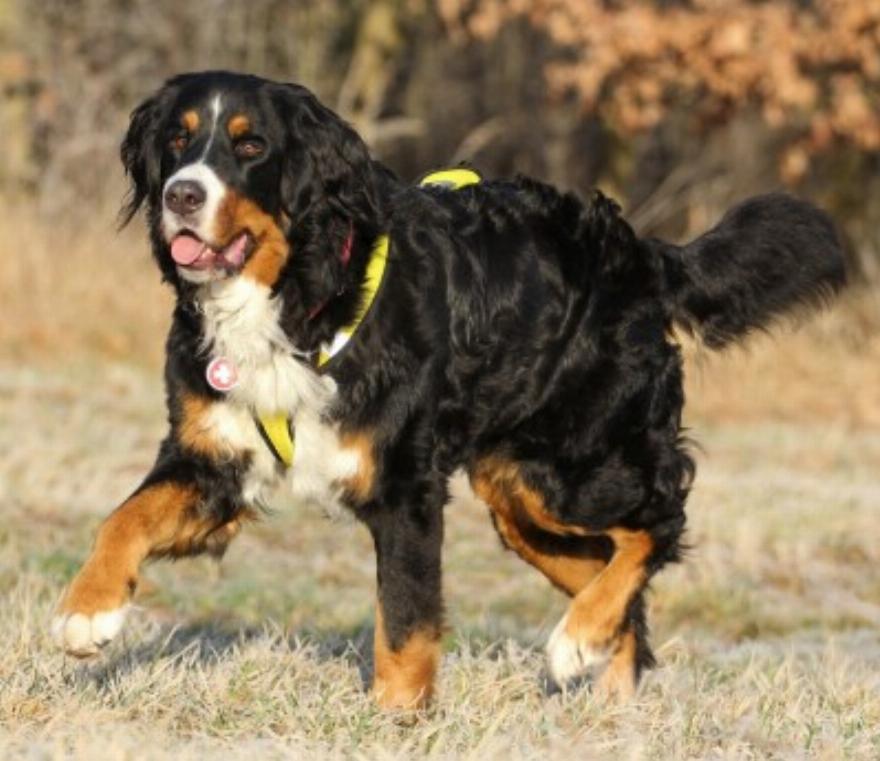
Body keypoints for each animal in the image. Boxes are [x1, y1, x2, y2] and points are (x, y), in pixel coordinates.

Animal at [52, 70, 845, 708]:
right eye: (178, 140)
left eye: (250, 147)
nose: (182, 194)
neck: (299, 300)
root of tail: (636, 251)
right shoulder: (213, 459)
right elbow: (121, 519)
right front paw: (88, 610)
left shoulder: (404, 487)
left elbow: (404, 622)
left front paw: (397, 721)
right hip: (522, 499)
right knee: (614, 571)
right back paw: (608, 691)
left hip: (581, 467)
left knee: (658, 522)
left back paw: (577, 640)